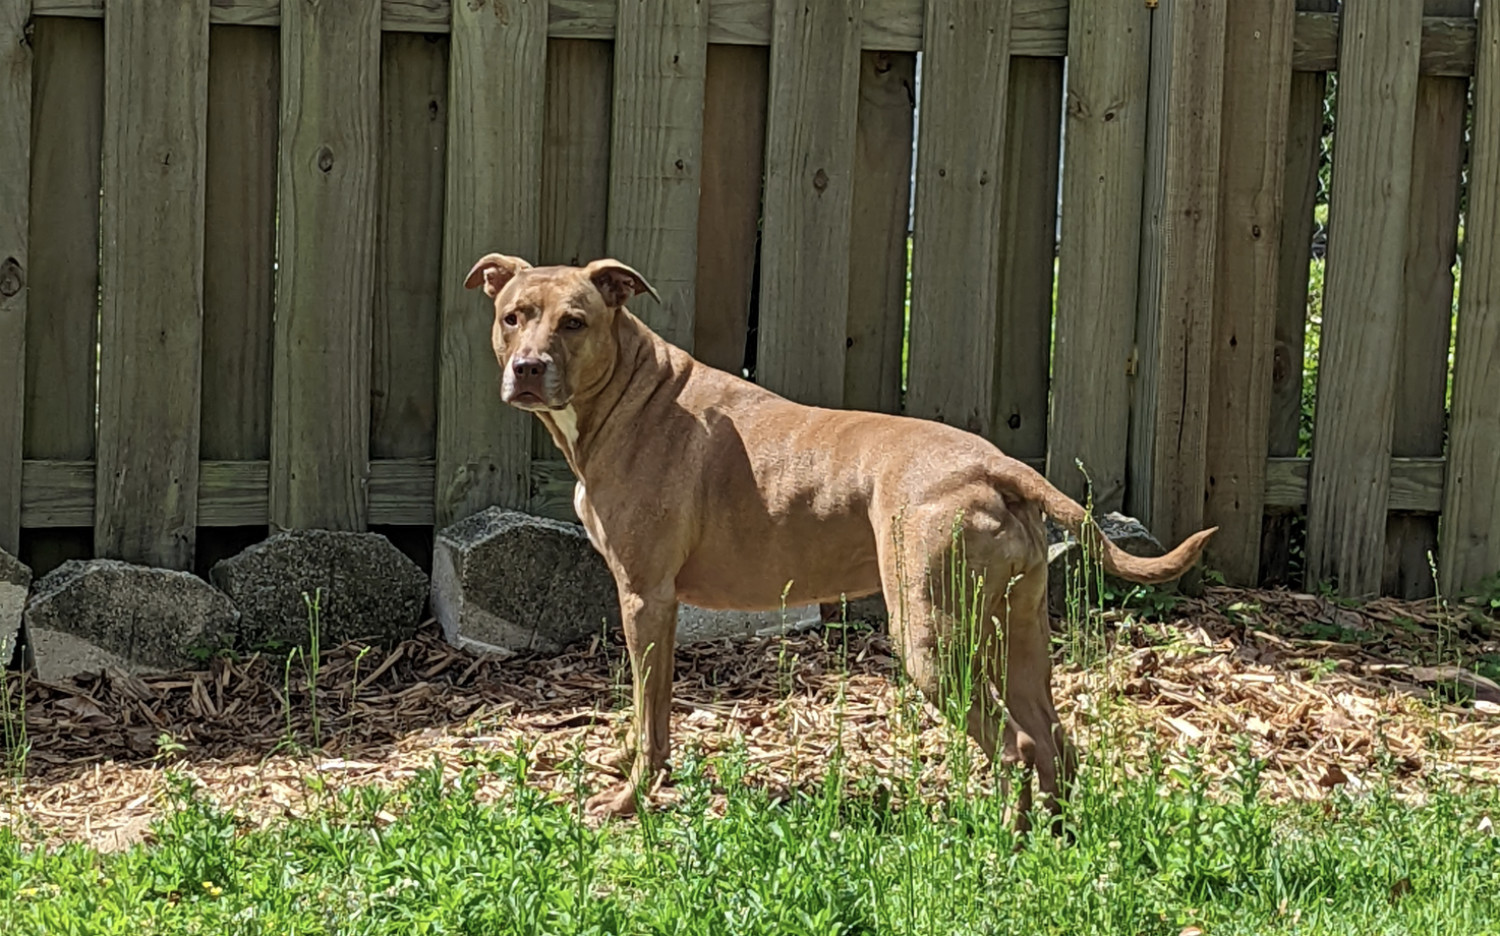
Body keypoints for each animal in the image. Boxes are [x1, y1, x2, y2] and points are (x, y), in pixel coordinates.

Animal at [462, 252, 1212, 822]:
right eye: (512, 317)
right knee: (1056, 741)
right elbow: (648, 712)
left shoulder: (646, 599)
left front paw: (630, 800)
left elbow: (653, 716)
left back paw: (1004, 843)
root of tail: (998, 464)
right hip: (1014, 632)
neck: (629, 392)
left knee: (1017, 747)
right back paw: (1056, 839)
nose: (527, 367)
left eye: (575, 322)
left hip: (933, 641)